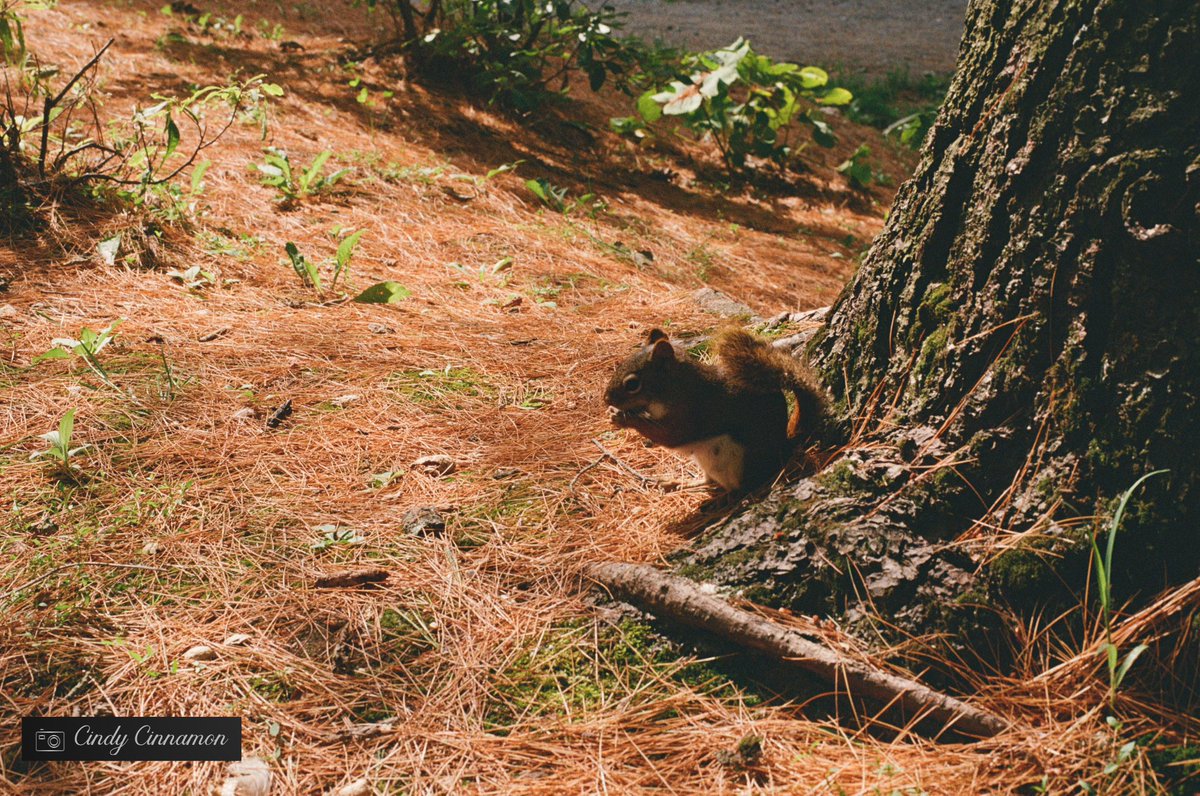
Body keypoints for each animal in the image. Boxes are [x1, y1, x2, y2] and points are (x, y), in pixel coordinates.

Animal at [604, 326, 830, 492]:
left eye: (632, 384)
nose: (606, 399)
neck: (677, 386)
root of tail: (782, 450)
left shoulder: (691, 412)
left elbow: (668, 435)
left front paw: (625, 419)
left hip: (730, 458)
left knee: (735, 487)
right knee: (709, 481)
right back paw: (679, 482)